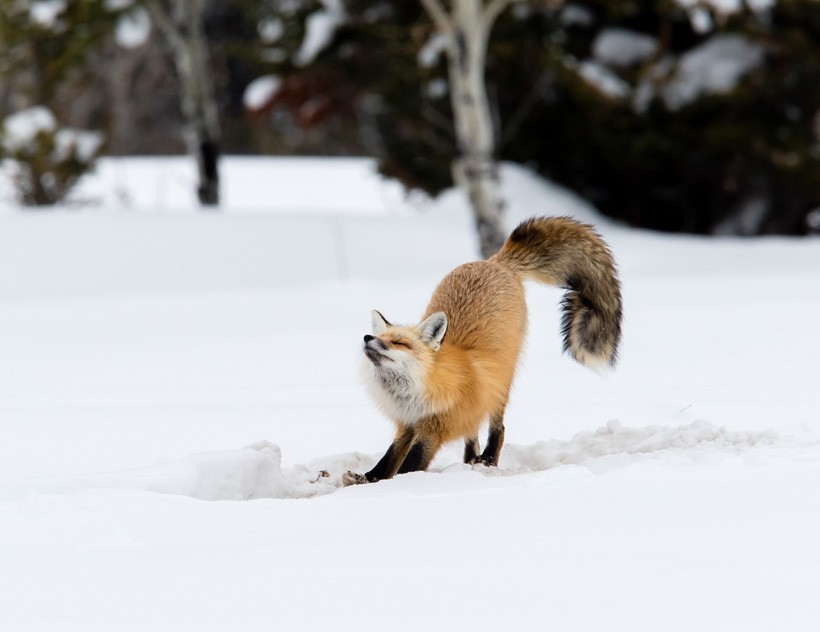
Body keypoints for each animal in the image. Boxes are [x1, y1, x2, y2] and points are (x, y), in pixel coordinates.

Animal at [342, 215, 620, 486]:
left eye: (399, 343)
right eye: (380, 337)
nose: (367, 338)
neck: (415, 394)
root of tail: (495, 261)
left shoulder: (434, 429)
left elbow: (411, 463)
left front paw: (398, 485)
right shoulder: (407, 425)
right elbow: (389, 458)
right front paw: (367, 479)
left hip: (500, 387)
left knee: (498, 429)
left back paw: (487, 460)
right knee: (472, 433)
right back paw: (470, 462)